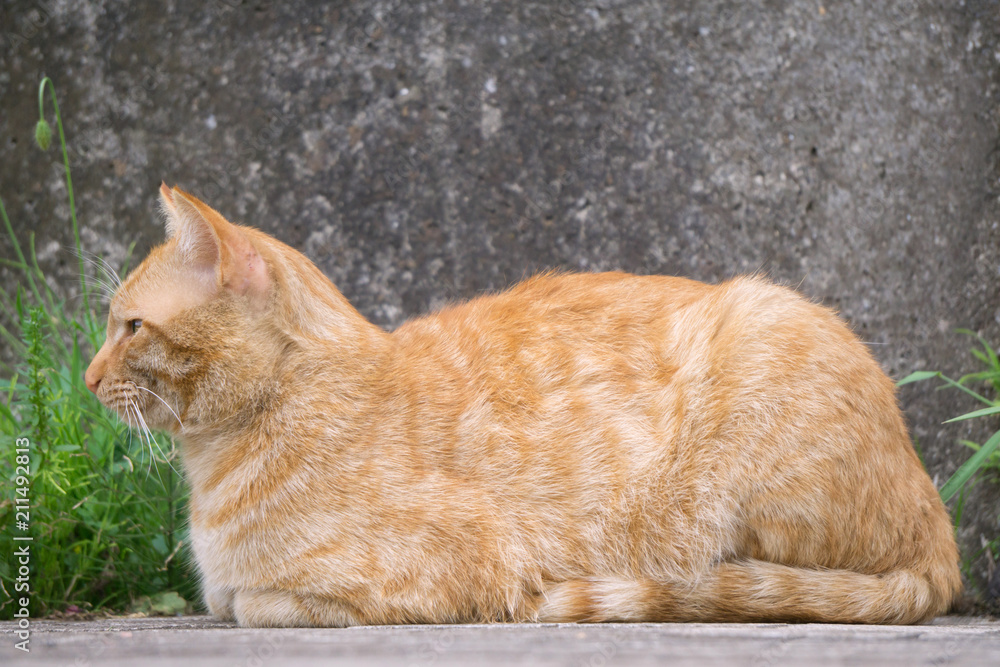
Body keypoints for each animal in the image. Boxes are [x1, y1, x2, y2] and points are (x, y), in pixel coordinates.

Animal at [86, 184, 960, 628]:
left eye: (130, 327)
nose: (90, 379)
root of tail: (941, 534)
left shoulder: (435, 577)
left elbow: (253, 604)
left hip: (758, 364)